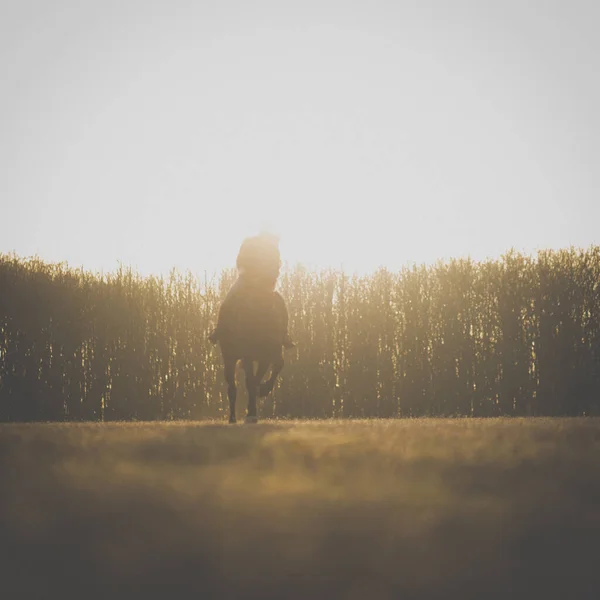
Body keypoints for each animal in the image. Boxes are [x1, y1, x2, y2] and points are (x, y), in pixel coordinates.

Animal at [216, 284, 288, 422]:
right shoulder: (247, 356)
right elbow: (250, 382)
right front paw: (251, 413)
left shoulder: (266, 356)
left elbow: (256, 380)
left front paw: (261, 394)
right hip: (229, 358)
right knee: (232, 385)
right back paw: (232, 417)